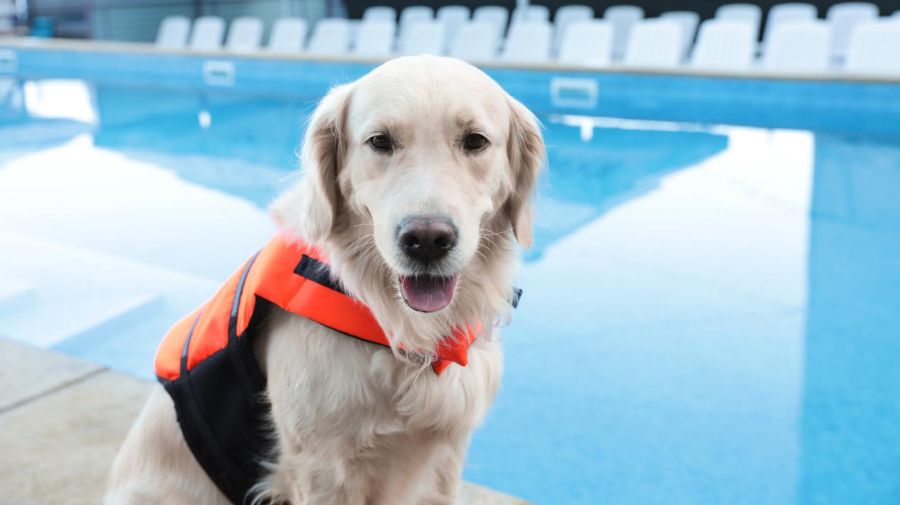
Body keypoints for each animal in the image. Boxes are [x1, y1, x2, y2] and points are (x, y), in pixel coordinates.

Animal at [105, 55, 540, 504]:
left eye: (475, 141)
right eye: (380, 141)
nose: (426, 240)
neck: (402, 330)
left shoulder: (444, 459)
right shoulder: (323, 468)